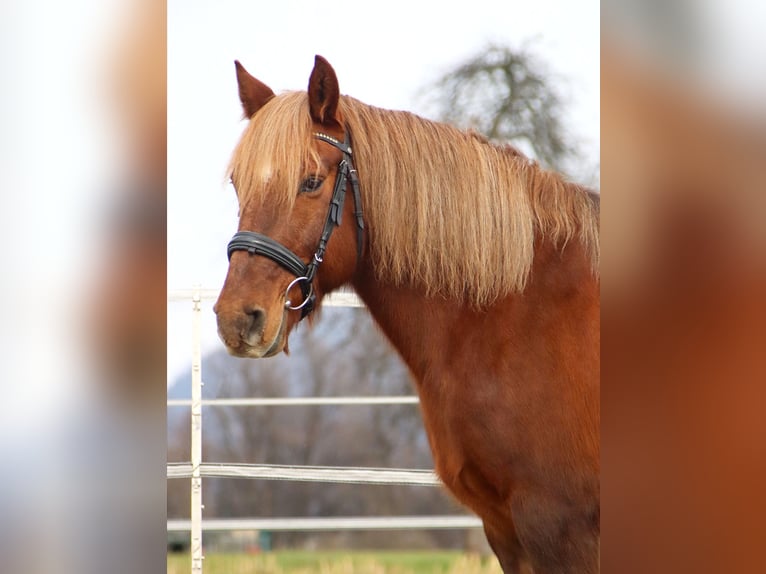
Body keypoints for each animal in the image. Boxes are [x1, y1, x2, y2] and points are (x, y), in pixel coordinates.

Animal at [214, 55, 600, 574]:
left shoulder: (559, 527)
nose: (237, 319)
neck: (521, 315)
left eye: (311, 181)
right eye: (240, 184)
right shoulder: (505, 530)